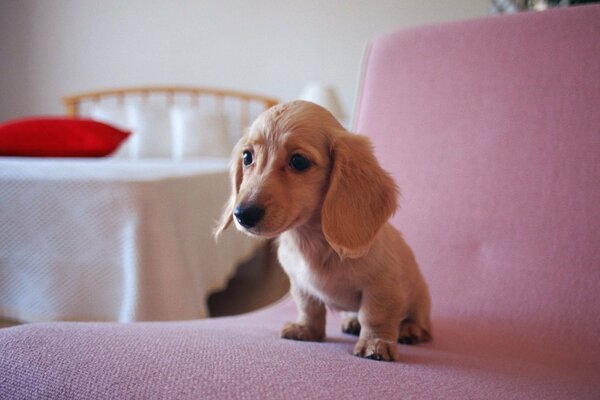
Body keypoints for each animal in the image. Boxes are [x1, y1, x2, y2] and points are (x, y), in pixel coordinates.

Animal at [216, 101, 432, 362]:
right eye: (247, 156)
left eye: (299, 161)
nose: (243, 214)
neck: (312, 242)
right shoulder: (301, 285)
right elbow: (310, 309)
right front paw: (307, 330)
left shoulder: (382, 285)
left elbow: (375, 315)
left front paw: (376, 342)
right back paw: (351, 321)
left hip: (420, 297)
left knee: (417, 320)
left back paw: (410, 329)